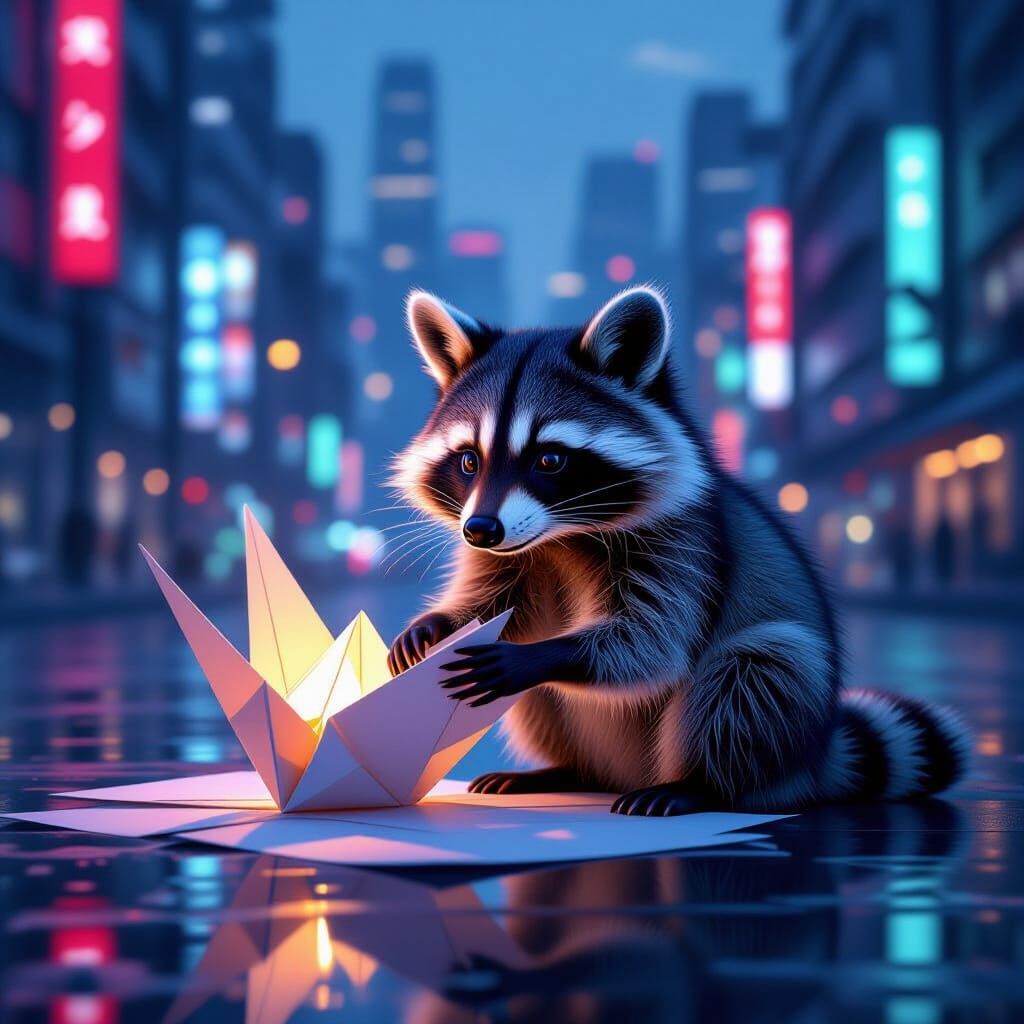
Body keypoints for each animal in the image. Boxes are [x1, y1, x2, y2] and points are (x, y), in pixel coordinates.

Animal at [387, 286, 971, 816]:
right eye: (469, 460)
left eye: (550, 459)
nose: (480, 529)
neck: (560, 536)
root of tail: (812, 757)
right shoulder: (507, 551)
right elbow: (497, 607)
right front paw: (438, 623)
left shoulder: (687, 545)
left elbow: (651, 641)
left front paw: (540, 654)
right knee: (543, 702)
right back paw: (568, 769)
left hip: (779, 699)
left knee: (756, 667)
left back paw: (702, 785)